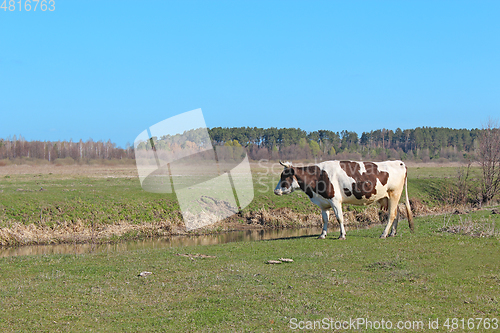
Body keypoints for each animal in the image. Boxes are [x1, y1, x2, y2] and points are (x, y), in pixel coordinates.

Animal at [274, 159, 414, 239]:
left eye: (284, 177)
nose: (275, 191)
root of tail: (399, 162)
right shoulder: (324, 203)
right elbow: (325, 219)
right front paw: (322, 234)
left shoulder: (335, 200)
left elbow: (339, 218)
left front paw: (342, 235)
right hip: (388, 197)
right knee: (396, 213)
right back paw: (392, 233)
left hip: (394, 193)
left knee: (392, 214)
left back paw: (384, 234)